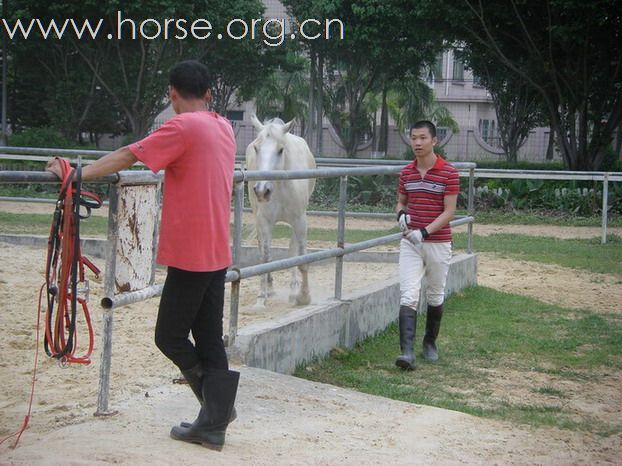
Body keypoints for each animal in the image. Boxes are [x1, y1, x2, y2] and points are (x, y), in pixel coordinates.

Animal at [247, 115, 320, 308]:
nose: (262, 190)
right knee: (264, 249)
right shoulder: (264, 221)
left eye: (280, 150)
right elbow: (265, 258)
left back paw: (293, 289)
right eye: (257, 148)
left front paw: (303, 296)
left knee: (292, 251)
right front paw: (261, 298)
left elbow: (301, 258)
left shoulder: (300, 221)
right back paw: (270, 289)